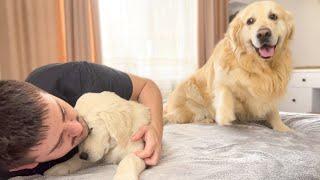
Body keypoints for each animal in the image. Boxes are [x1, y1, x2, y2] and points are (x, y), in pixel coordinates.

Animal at [165, 0, 296, 131]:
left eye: (273, 16)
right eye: (250, 21)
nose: (263, 34)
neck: (257, 65)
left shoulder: (270, 91)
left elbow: (273, 111)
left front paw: (282, 128)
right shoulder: (219, 76)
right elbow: (225, 88)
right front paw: (224, 114)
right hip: (189, 92)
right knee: (184, 119)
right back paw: (207, 119)